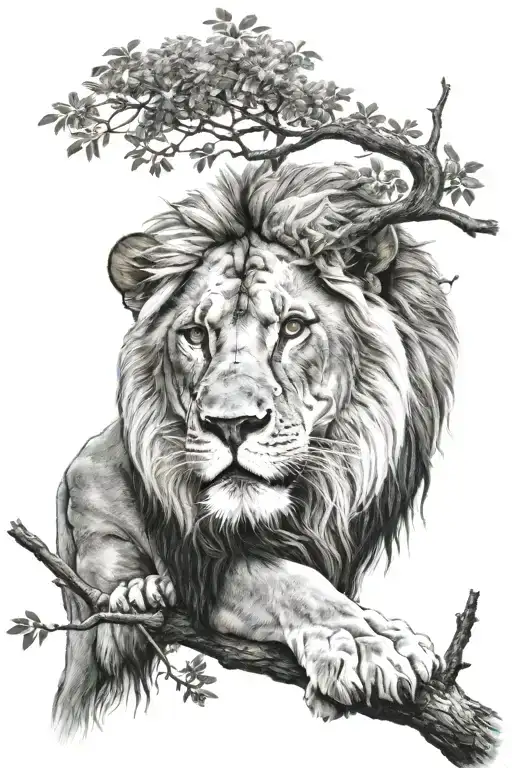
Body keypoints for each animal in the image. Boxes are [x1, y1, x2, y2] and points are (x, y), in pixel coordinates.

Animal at [52, 161, 457, 737]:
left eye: (293, 328)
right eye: (195, 334)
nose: (232, 425)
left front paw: (380, 639)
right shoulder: (201, 562)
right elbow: (289, 581)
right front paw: (363, 645)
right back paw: (140, 592)